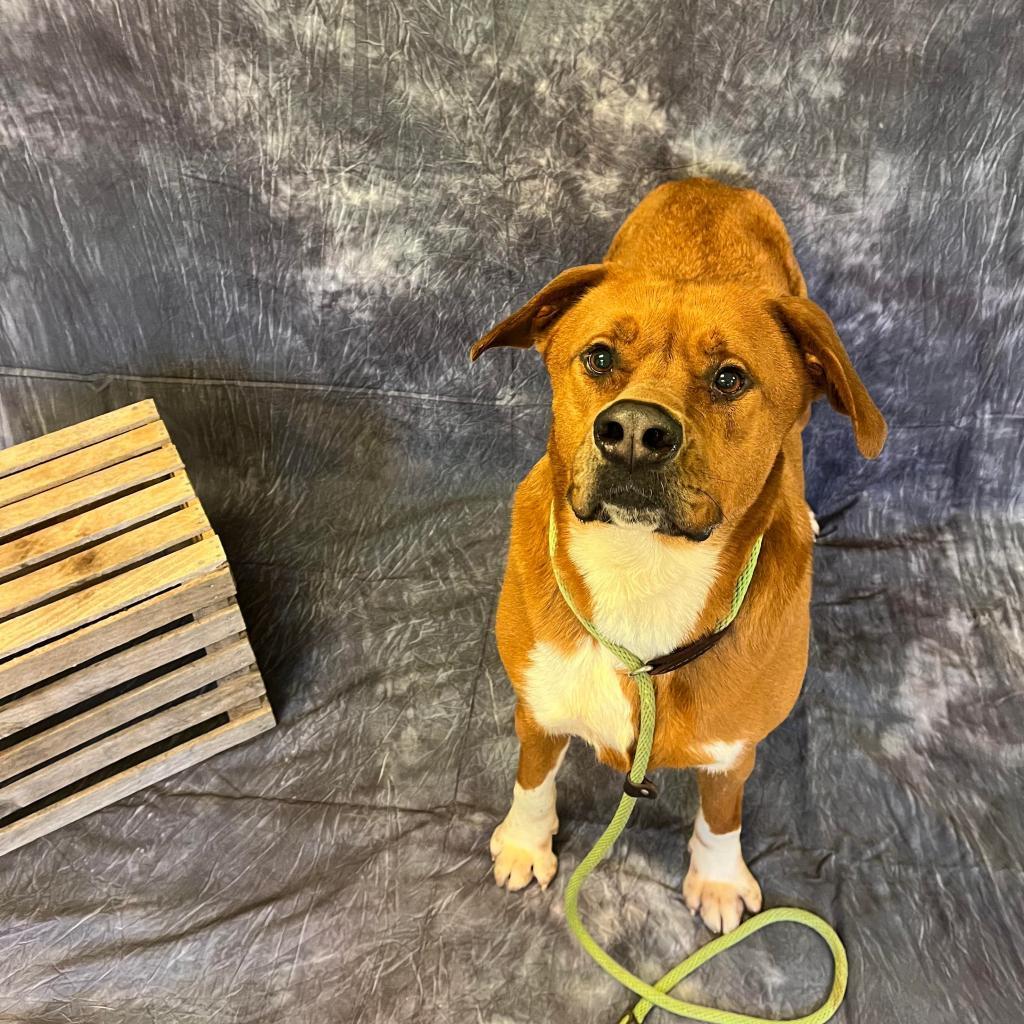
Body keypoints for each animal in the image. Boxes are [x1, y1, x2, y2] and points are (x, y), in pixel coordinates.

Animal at [468, 178, 884, 937]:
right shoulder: (537, 704)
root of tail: (710, 183)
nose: (633, 431)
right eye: (599, 357)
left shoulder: (735, 750)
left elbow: (721, 816)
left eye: (729, 378)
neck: (643, 571)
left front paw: (717, 880)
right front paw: (524, 842)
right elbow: (533, 778)